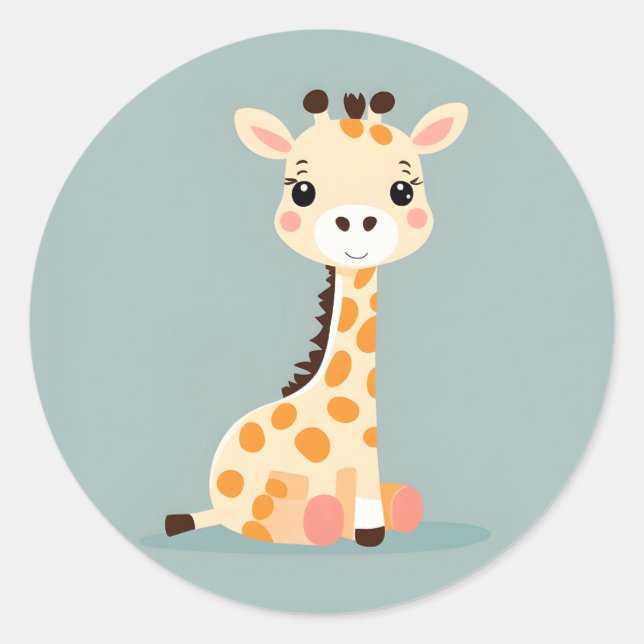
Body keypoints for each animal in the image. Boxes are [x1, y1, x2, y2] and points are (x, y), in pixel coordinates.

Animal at [165, 90, 468, 547]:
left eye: (403, 191)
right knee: (276, 518)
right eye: (303, 192)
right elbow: (331, 516)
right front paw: (366, 531)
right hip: (251, 502)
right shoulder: (356, 455)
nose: (357, 222)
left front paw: (370, 528)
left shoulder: (364, 458)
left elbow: (384, 501)